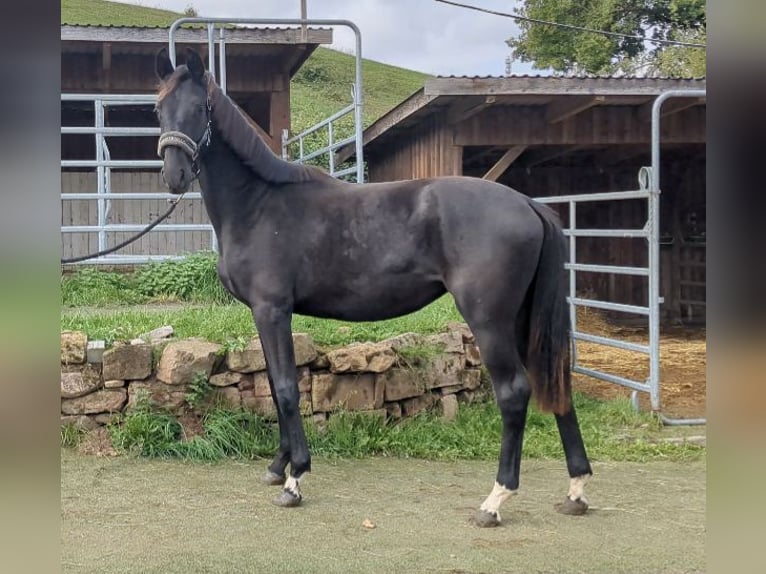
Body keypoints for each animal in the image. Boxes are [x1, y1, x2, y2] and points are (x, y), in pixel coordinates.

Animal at [154, 47, 592, 527]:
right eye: (158, 109)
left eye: (200, 108)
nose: (174, 175)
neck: (259, 204)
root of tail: (529, 204)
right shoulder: (263, 314)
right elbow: (272, 383)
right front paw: (277, 466)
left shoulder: (272, 310)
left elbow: (286, 388)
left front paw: (295, 478)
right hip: (522, 319)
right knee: (556, 381)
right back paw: (575, 491)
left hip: (489, 320)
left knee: (514, 393)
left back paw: (494, 501)